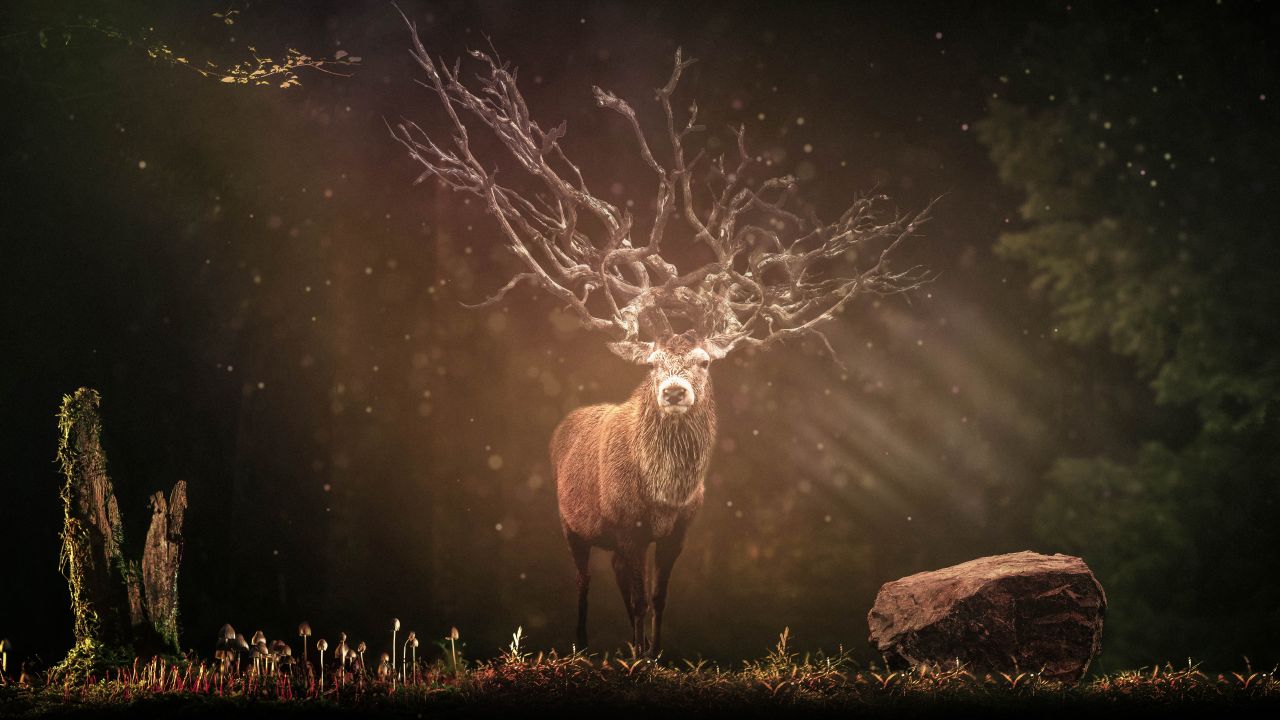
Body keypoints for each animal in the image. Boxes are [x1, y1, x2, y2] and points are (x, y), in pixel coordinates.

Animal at [391, 10, 932, 656]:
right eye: (651, 365)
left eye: (704, 360)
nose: (674, 390)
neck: (664, 492)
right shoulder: (623, 526)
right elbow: (630, 598)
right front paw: (633, 658)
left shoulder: (677, 531)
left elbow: (659, 597)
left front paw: (655, 654)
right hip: (570, 523)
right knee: (582, 580)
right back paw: (580, 644)